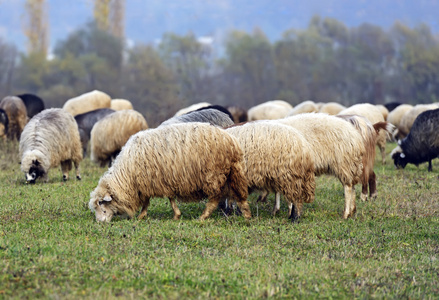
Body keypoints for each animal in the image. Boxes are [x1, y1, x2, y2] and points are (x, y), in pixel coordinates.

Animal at [89, 122, 251, 223]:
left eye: (102, 207)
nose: (100, 222)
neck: (127, 173)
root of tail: (232, 142)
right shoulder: (162, 179)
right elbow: (169, 198)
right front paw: (175, 215)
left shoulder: (149, 180)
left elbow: (150, 201)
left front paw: (142, 215)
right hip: (233, 172)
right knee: (240, 196)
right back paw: (247, 215)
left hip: (214, 174)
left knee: (215, 199)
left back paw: (203, 217)